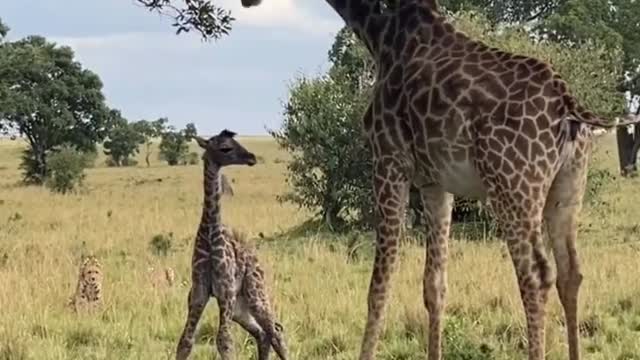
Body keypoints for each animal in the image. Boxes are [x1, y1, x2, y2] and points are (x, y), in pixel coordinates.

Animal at [174, 129, 286, 360]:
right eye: (225, 148)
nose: (252, 158)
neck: (209, 233)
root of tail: (257, 261)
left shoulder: (225, 292)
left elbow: (224, 341)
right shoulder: (198, 293)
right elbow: (185, 342)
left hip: (255, 294)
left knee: (275, 331)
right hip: (239, 308)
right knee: (263, 333)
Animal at [241, 0, 636, 360]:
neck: (379, 32)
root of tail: (568, 105)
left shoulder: (388, 160)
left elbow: (378, 286)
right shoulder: (436, 184)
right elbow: (434, 285)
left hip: (513, 185)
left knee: (537, 276)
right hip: (567, 187)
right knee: (571, 273)